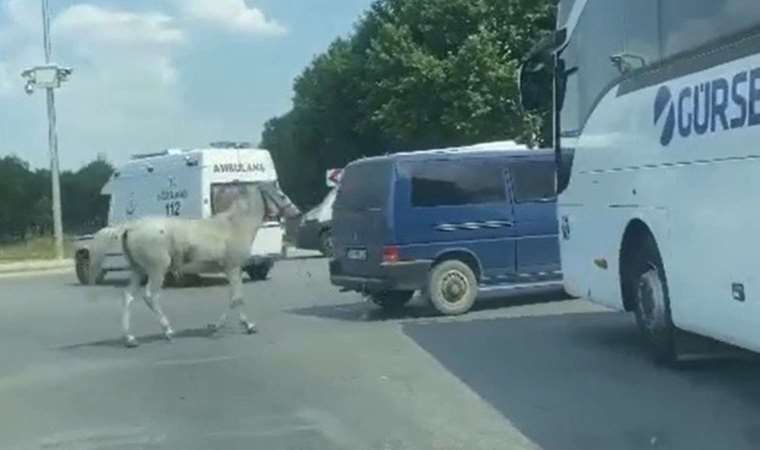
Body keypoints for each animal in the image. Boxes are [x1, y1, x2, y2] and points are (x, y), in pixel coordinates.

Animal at [109, 183, 300, 348]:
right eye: (281, 195)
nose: (297, 213)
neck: (235, 225)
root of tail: (130, 229)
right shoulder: (232, 268)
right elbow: (236, 298)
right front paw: (231, 326)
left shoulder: (233, 270)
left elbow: (236, 297)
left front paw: (242, 325)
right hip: (157, 270)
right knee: (150, 296)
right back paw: (168, 330)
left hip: (138, 270)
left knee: (128, 297)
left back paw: (130, 338)